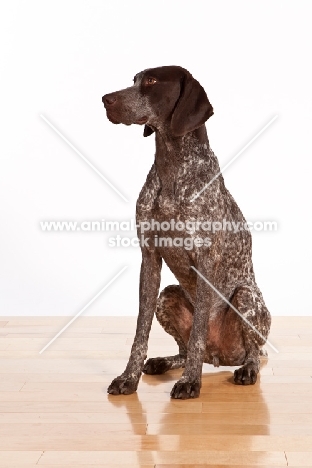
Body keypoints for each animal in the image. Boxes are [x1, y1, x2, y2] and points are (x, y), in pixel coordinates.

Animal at [102, 66, 270, 398]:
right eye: (133, 81)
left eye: (152, 81)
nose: (105, 99)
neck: (172, 165)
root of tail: (220, 357)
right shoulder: (149, 258)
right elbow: (140, 331)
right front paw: (129, 377)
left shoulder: (204, 260)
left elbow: (198, 334)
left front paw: (191, 381)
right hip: (167, 295)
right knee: (184, 348)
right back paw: (164, 362)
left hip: (247, 298)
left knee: (252, 351)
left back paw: (246, 369)